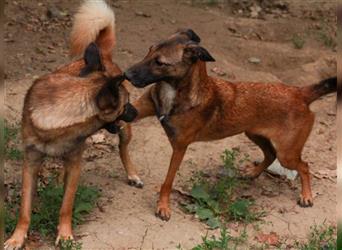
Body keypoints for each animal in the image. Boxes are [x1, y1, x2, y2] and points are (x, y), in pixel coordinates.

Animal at [3, 0, 142, 248]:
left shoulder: (76, 162)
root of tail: (103, 55)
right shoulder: (30, 162)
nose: (135, 111)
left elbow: (66, 205)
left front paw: (65, 234)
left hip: (125, 132)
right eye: (126, 106)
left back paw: (133, 175)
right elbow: (25, 209)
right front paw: (17, 237)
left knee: (123, 148)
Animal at [121, 28, 336, 221]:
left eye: (160, 62)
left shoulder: (180, 147)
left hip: (287, 153)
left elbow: (168, 181)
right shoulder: (137, 111)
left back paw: (306, 196)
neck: (174, 92)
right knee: (270, 154)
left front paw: (163, 206)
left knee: (304, 166)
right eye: (149, 50)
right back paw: (252, 173)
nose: (126, 75)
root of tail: (299, 92)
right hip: (254, 134)